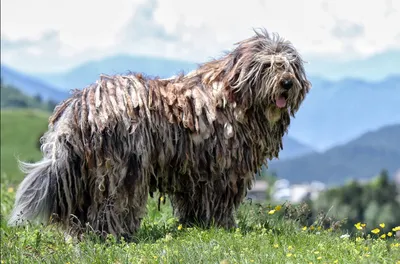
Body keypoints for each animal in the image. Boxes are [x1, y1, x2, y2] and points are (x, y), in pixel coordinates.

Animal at [7, 28, 310, 239]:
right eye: (268, 65)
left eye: (290, 66)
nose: (287, 83)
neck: (231, 98)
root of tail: (82, 105)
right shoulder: (222, 170)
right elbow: (218, 200)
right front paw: (222, 224)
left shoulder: (195, 172)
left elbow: (195, 202)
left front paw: (196, 224)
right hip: (122, 168)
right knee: (113, 204)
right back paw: (114, 234)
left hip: (88, 171)